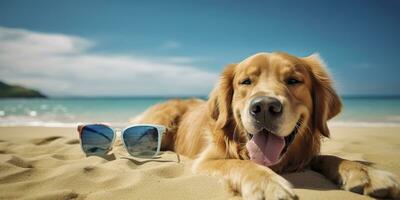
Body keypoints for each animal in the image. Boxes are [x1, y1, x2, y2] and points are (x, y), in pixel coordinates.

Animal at [133, 52, 398, 199]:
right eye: (246, 82)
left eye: (294, 80)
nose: (264, 107)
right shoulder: (207, 159)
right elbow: (241, 165)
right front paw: (267, 183)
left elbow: (331, 157)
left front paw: (365, 173)